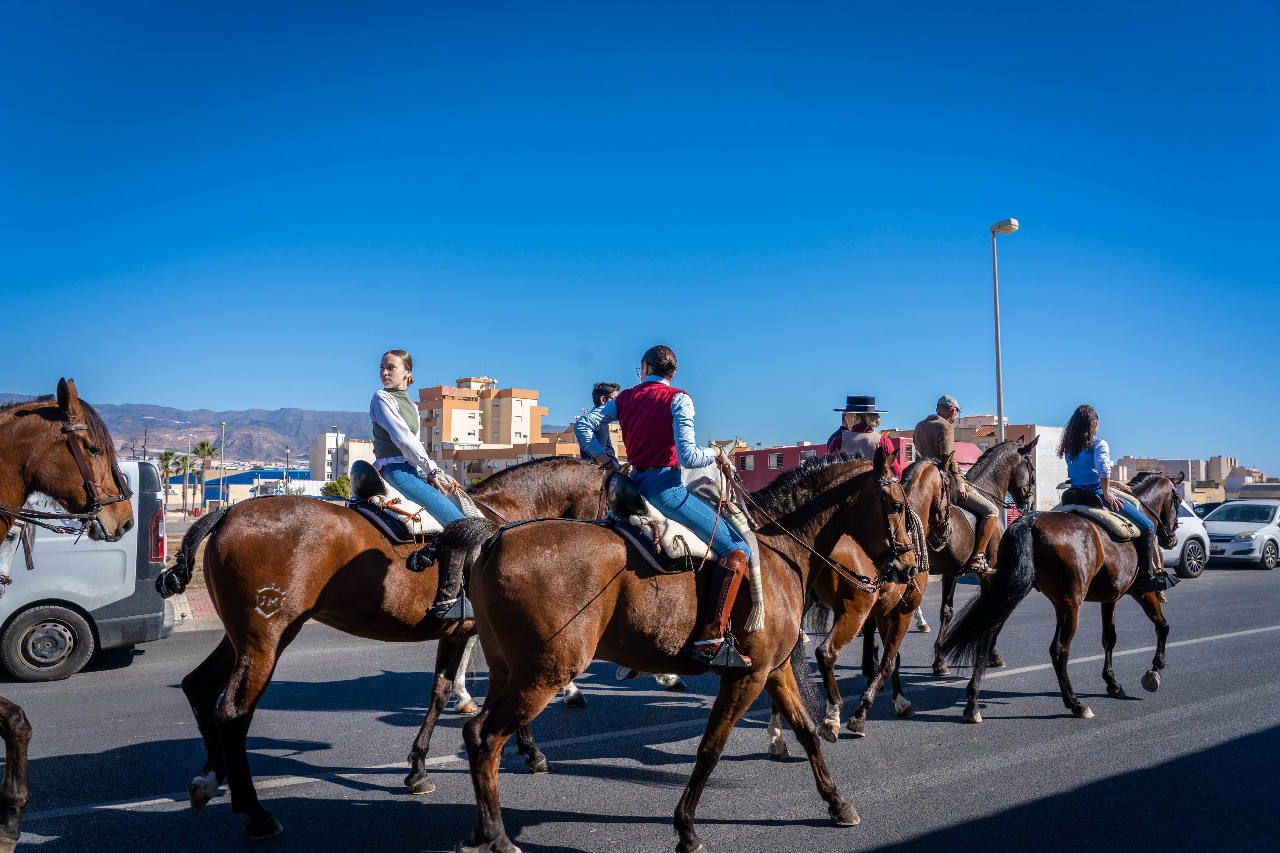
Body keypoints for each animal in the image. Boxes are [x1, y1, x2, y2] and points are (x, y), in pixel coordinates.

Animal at [162, 455, 616, 839]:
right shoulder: (494, 639)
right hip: (265, 641)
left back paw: (211, 776)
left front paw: (417, 768)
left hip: (240, 638)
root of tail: (226, 512)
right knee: (232, 712)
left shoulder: (459, 634)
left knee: (199, 686)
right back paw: (255, 812)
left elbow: (440, 692)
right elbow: (494, 696)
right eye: (614, 495)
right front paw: (533, 752)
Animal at [456, 448, 916, 853]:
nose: (910, 568)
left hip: (508, 672)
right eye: (896, 504)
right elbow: (711, 748)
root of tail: (495, 539)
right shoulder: (746, 676)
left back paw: (483, 829)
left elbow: (806, 731)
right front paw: (686, 830)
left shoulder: (775, 668)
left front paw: (837, 803)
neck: (777, 555)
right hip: (542, 675)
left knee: (477, 734)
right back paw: (495, 836)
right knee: (490, 737)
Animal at [942, 472, 1183, 723]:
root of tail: (1029, 522)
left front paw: (1113, 683)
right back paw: (1076, 704)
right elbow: (1162, 626)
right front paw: (1155, 669)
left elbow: (1109, 638)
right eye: (1177, 501)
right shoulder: (1143, 591)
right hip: (1069, 604)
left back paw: (972, 704)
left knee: (986, 639)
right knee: (1059, 651)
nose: (1172, 539)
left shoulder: (1110, 597)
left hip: (1009, 592)